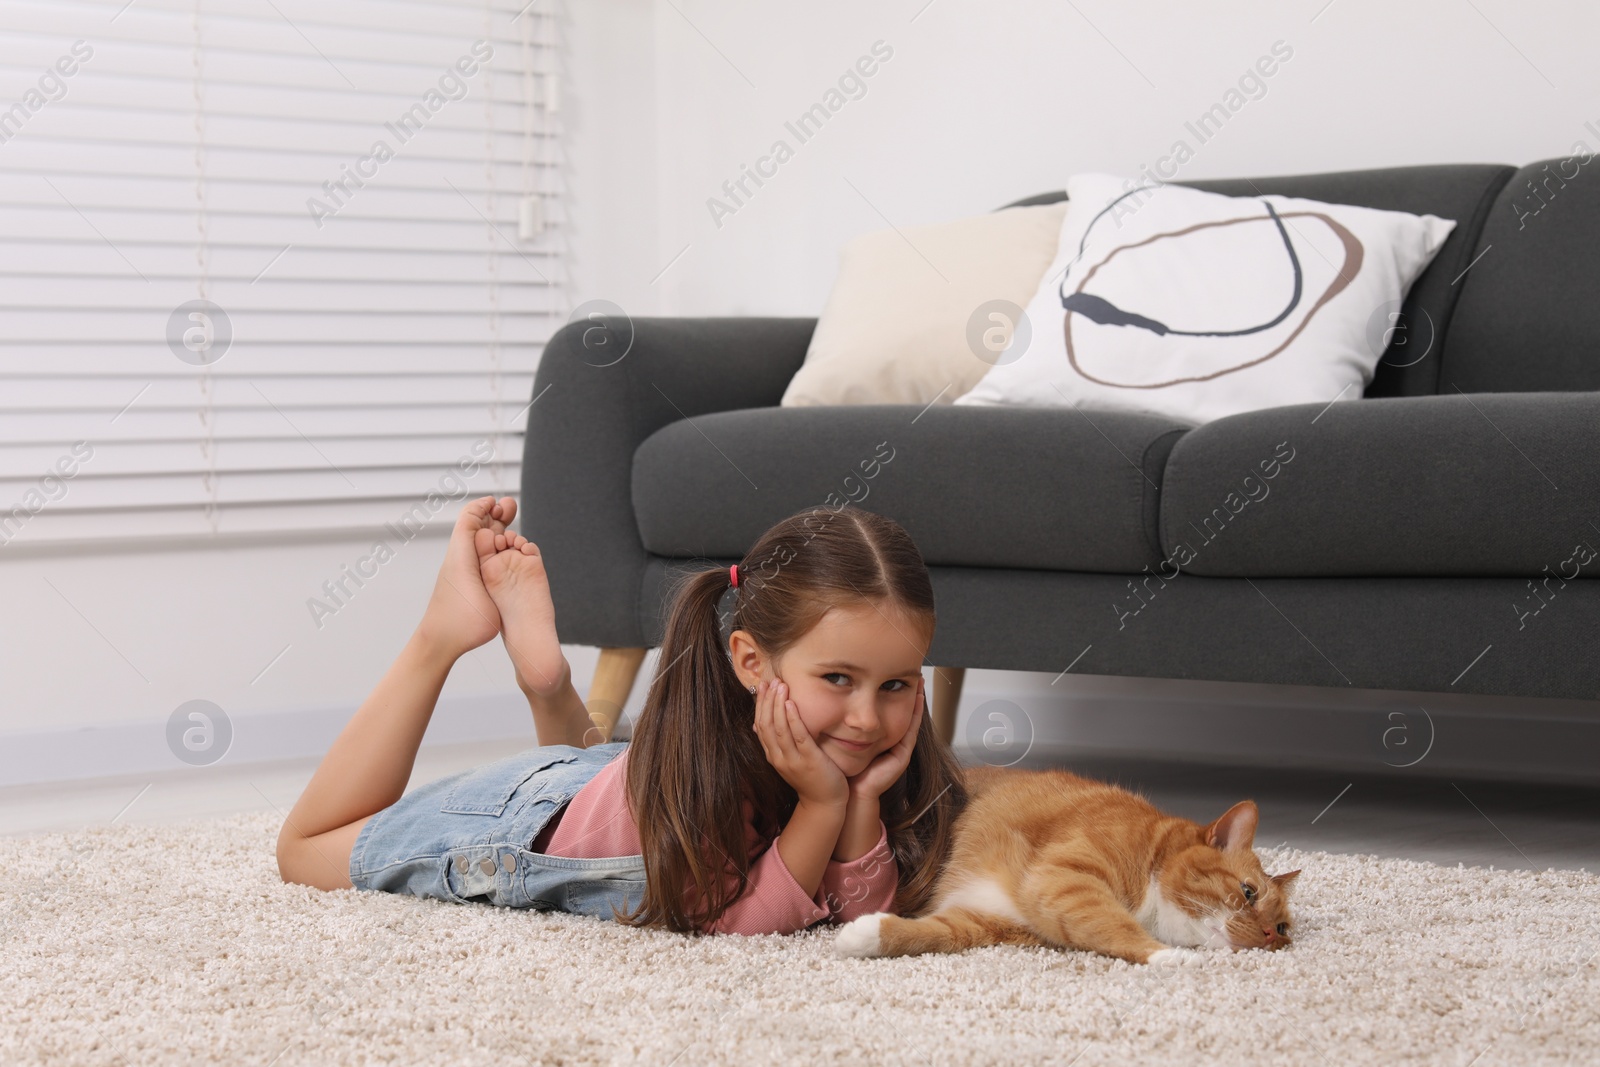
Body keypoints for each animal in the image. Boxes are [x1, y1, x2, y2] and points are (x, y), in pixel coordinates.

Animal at [838, 767, 1299, 966]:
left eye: (1282, 927)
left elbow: (932, 935)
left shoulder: (982, 920)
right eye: (1248, 892)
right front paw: (1169, 956)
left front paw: (864, 935)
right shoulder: (1066, 880)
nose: (1268, 937)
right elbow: (1113, 923)